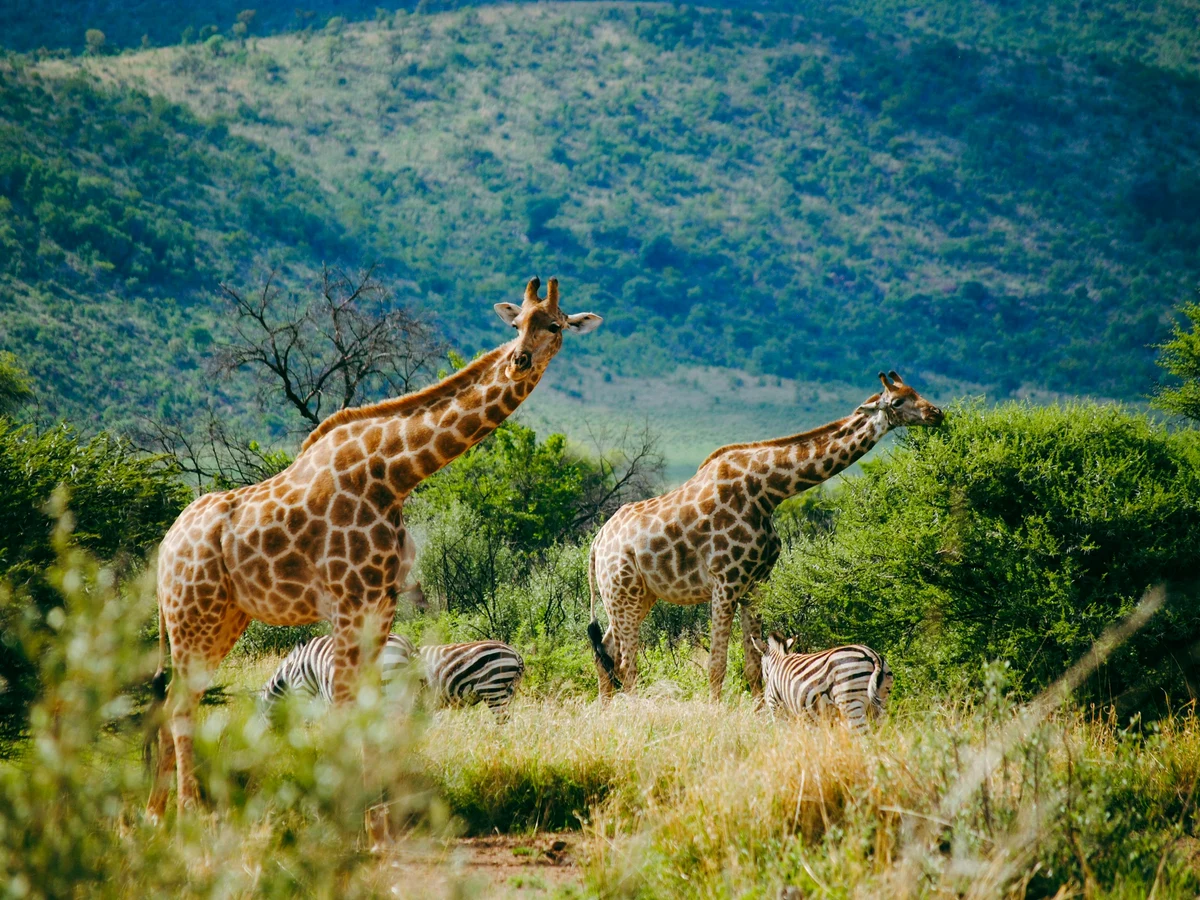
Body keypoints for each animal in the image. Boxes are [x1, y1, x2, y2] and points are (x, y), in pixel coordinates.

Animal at [587, 371, 942, 702]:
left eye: (916, 391)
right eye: (897, 402)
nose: (936, 413)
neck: (768, 492)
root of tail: (596, 542)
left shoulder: (756, 584)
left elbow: (752, 665)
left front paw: (761, 714)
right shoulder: (725, 583)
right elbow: (717, 665)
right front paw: (714, 714)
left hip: (636, 596)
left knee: (606, 652)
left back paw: (607, 711)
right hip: (624, 593)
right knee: (626, 663)